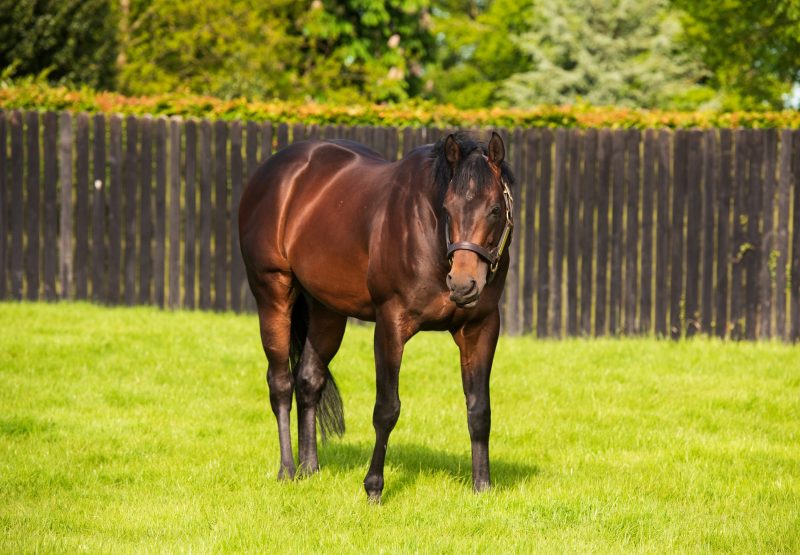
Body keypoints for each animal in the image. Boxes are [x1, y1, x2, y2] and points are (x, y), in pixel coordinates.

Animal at [236, 131, 512, 504]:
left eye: (495, 209)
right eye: (447, 208)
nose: (463, 284)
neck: (430, 237)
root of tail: (272, 172)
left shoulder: (480, 328)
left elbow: (479, 409)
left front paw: (482, 486)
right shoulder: (390, 325)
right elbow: (386, 409)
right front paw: (374, 488)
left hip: (327, 311)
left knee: (308, 379)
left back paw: (310, 469)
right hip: (273, 294)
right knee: (280, 383)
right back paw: (288, 470)